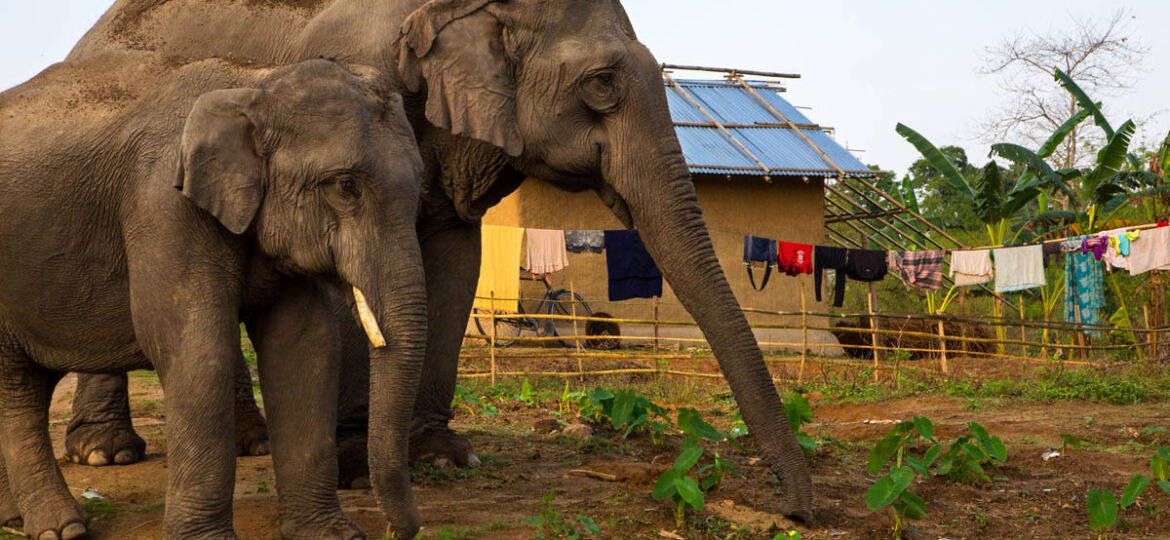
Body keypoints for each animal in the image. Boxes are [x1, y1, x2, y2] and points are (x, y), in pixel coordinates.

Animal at [0, 53, 427, 539]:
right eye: (345, 186)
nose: (397, 530)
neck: (255, 85)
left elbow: (307, 347)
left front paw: (330, 534)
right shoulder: (163, 207)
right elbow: (196, 351)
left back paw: (17, 518)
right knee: (16, 386)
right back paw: (62, 528)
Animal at [66, 0, 817, 522]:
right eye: (602, 83)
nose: (795, 509)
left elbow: (455, 261)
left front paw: (439, 457)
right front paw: (355, 464)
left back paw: (250, 442)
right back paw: (105, 452)